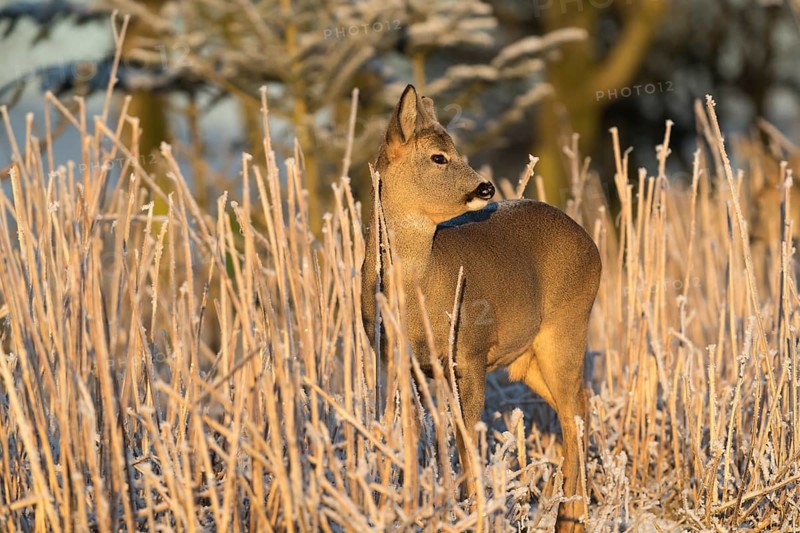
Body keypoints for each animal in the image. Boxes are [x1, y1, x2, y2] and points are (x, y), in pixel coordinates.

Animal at [361, 85, 601, 532]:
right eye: (439, 156)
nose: (486, 189)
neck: (418, 288)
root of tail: (591, 243)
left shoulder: (469, 353)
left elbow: (464, 437)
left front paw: (471, 511)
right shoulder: (395, 359)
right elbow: (402, 432)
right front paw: (396, 506)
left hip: (567, 328)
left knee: (572, 411)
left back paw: (570, 514)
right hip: (528, 358)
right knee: (581, 400)